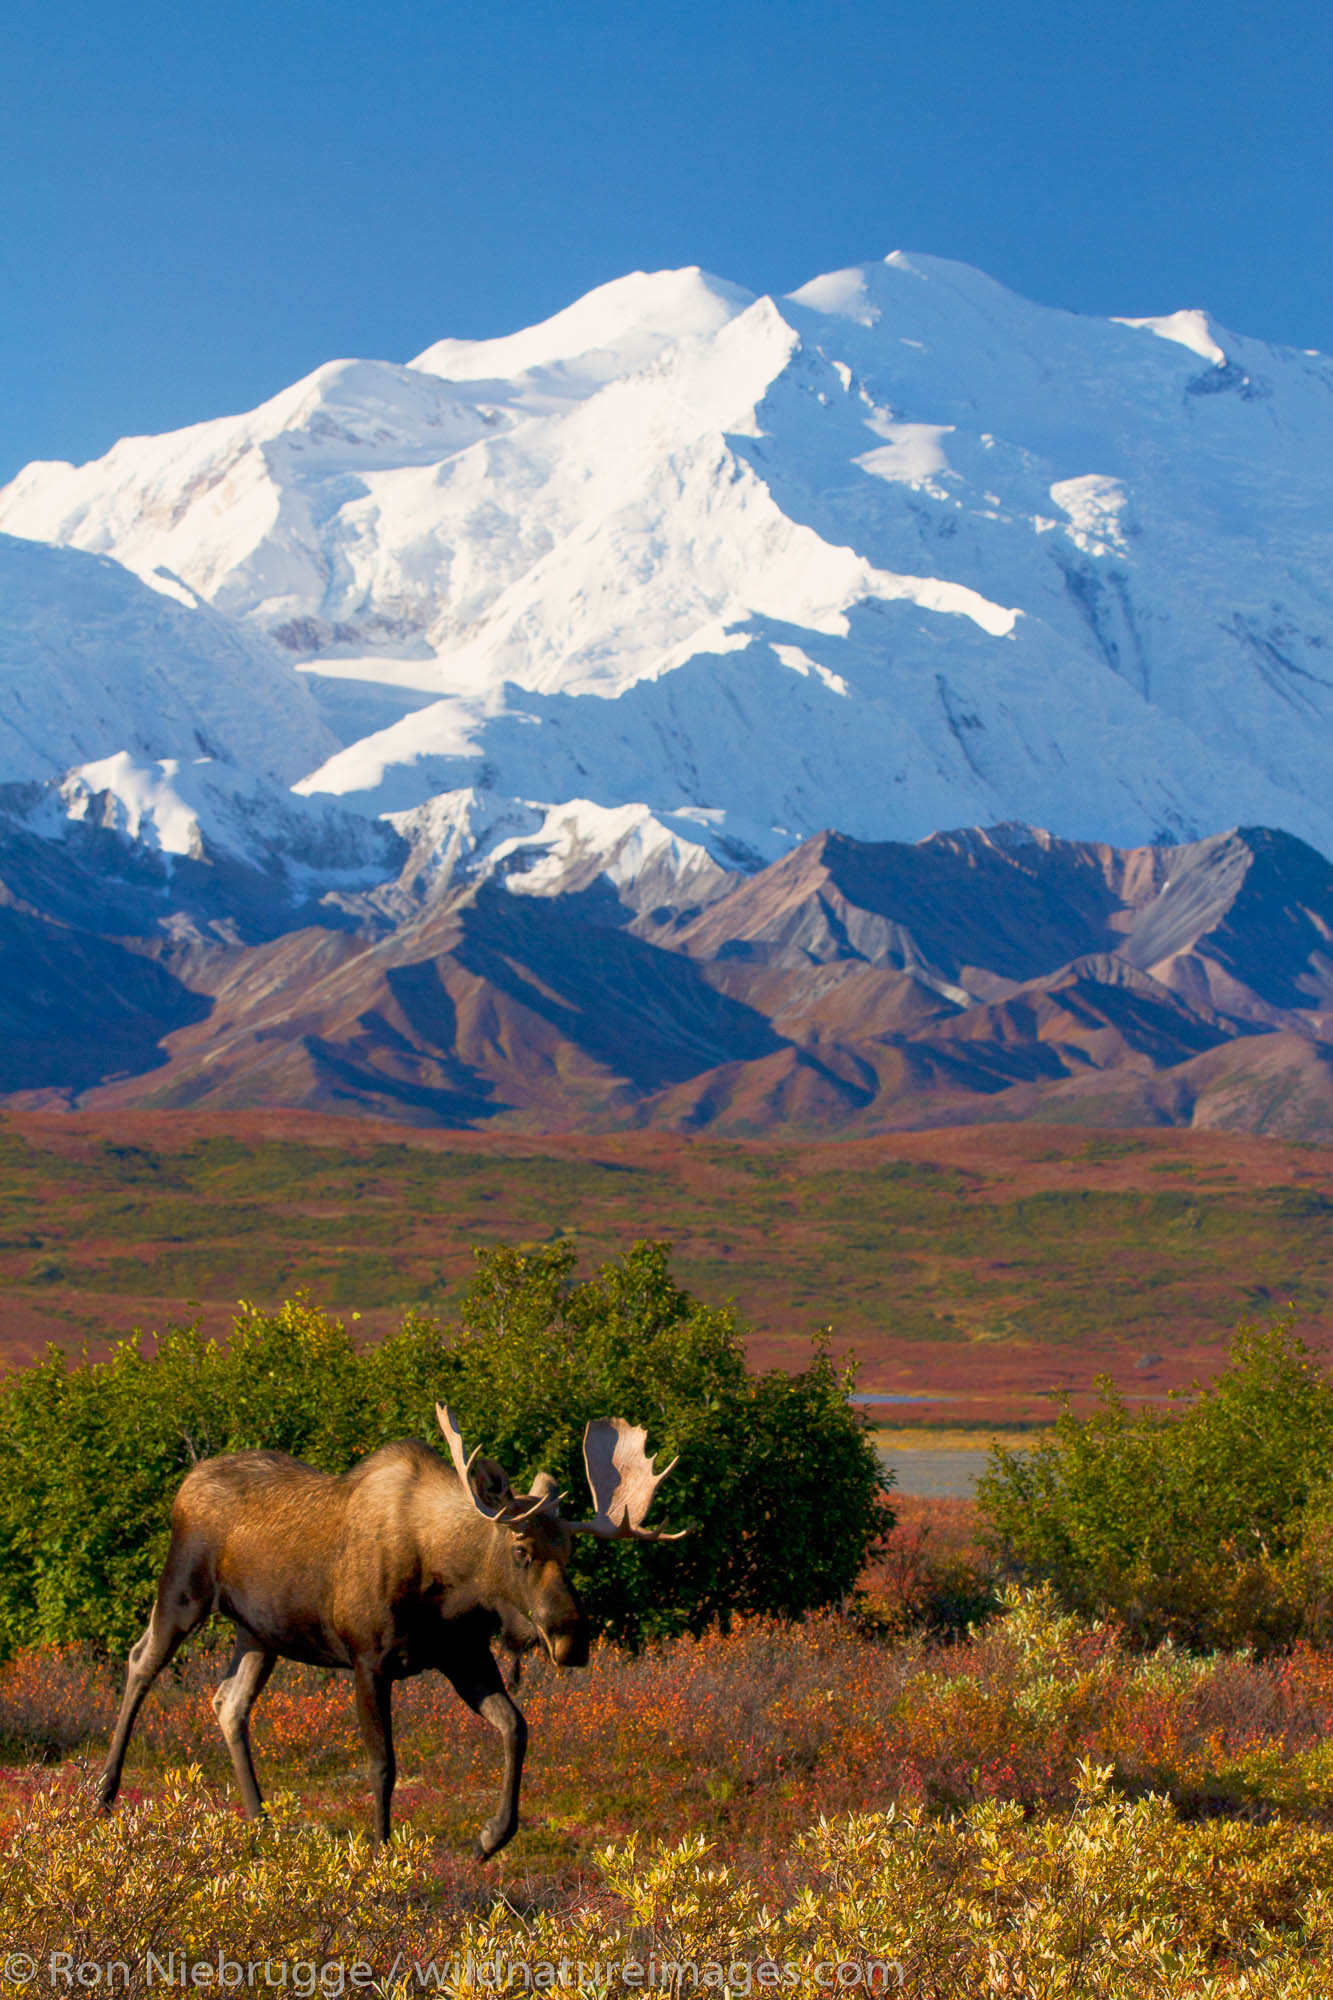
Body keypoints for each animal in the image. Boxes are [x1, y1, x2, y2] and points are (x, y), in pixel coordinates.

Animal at [94, 1408, 680, 1856]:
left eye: (571, 1550)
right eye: (521, 1550)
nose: (570, 1639)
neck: (448, 1585)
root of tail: (186, 1483)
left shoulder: (463, 1657)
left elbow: (516, 1728)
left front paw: (491, 1836)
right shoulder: (368, 1660)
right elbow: (383, 1765)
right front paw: (380, 1853)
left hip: (259, 1632)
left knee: (228, 1702)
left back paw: (260, 1822)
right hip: (184, 1591)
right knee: (141, 1662)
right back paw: (104, 1795)